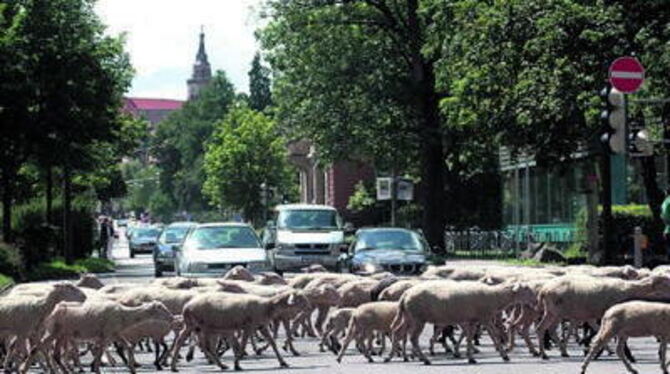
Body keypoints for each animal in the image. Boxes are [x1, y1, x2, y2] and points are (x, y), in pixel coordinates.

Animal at [172, 290, 312, 370]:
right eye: (300, 299)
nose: (309, 307)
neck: (267, 306)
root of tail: (186, 306)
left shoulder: (261, 326)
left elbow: (272, 343)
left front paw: (283, 362)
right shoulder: (249, 326)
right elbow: (243, 344)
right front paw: (237, 364)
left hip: (201, 327)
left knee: (203, 345)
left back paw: (220, 365)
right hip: (197, 325)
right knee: (189, 343)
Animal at [388, 280, 536, 366]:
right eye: (526, 289)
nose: (535, 301)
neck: (494, 296)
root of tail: (405, 295)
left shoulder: (473, 320)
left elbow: (469, 337)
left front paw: (470, 357)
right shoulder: (484, 317)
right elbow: (494, 335)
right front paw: (504, 355)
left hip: (408, 317)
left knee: (397, 332)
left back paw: (392, 357)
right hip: (417, 318)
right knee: (413, 338)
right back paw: (425, 359)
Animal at [540, 274, 670, 360]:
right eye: (666, 281)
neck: (629, 288)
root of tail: (544, 290)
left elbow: (598, 331)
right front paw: (628, 355)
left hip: (553, 312)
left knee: (546, 329)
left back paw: (558, 352)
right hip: (557, 312)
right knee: (544, 329)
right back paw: (546, 353)